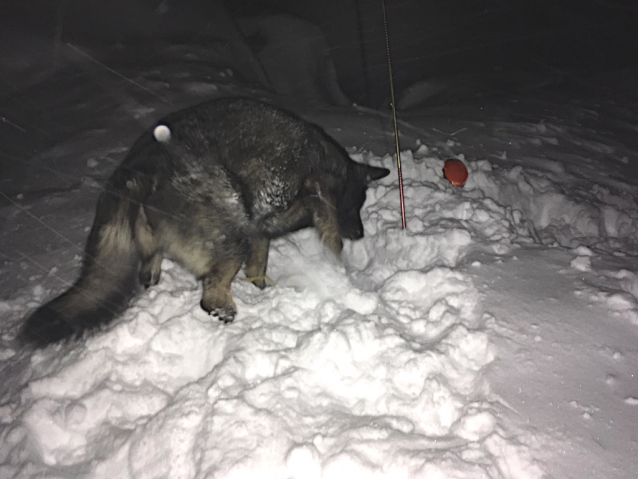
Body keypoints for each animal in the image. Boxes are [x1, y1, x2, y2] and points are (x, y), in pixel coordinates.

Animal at [18, 97, 390, 346]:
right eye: (355, 204)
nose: (359, 234)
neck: (323, 159)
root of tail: (137, 171)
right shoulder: (287, 202)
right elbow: (324, 225)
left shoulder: (260, 230)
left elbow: (260, 264)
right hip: (230, 232)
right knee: (210, 295)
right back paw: (227, 314)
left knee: (149, 271)